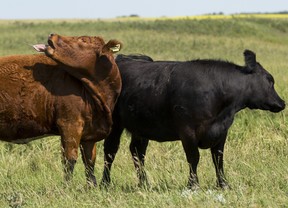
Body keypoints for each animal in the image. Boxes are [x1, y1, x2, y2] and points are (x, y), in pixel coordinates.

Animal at [0, 33, 122, 185]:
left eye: (83, 40)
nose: (52, 35)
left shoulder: (89, 134)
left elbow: (89, 163)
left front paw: (91, 186)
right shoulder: (69, 124)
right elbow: (69, 160)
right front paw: (67, 186)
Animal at [100, 50, 284, 190]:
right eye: (270, 80)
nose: (282, 103)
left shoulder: (221, 131)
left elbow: (218, 158)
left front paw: (223, 184)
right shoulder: (187, 131)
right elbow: (193, 157)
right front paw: (193, 185)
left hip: (141, 126)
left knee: (137, 151)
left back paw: (144, 183)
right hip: (115, 124)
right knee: (110, 151)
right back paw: (105, 183)